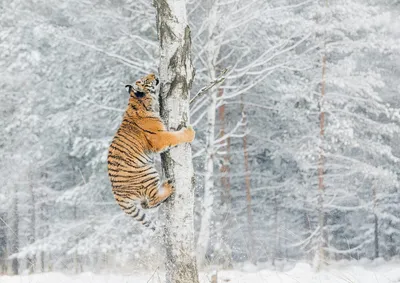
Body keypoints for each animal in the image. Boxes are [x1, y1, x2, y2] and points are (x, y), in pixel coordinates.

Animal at [108, 73, 195, 231]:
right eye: (144, 80)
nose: (154, 74)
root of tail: (117, 196)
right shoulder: (160, 138)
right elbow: (176, 136)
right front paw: (190, 132)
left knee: (146, 204)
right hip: (147, 173)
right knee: (152, 198)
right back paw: (168, 186)